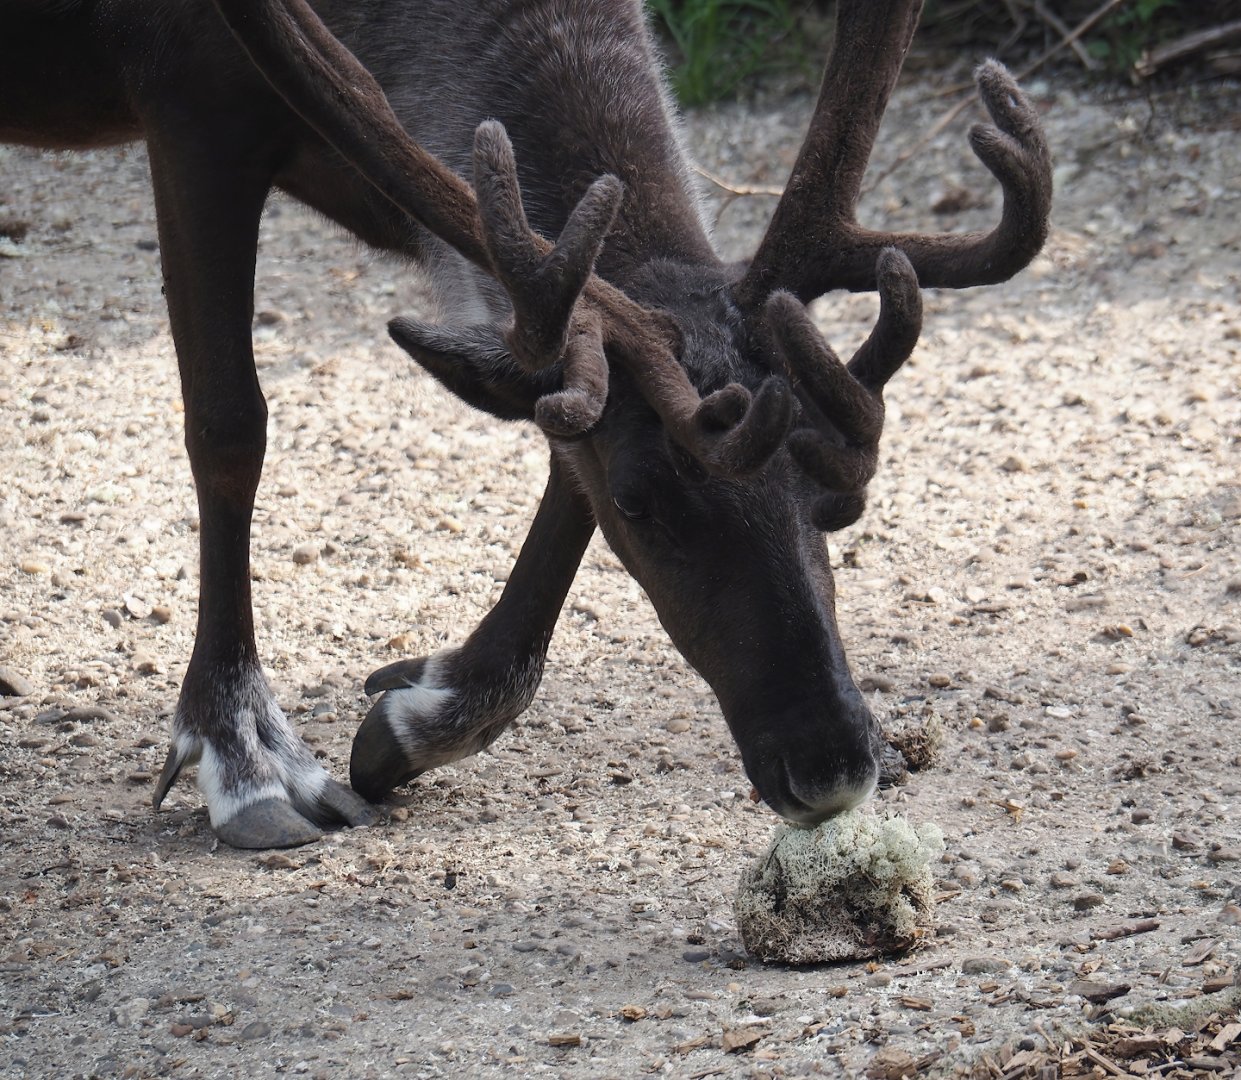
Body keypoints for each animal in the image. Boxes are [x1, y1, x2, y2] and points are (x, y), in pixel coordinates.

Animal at [1, 0, 1051, 849]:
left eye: (841, 503)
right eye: (643, 503)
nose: (831, 764)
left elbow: (558, 433)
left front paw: (429, 717)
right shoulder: (190, 105)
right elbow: (229, 425)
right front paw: (241, 746)